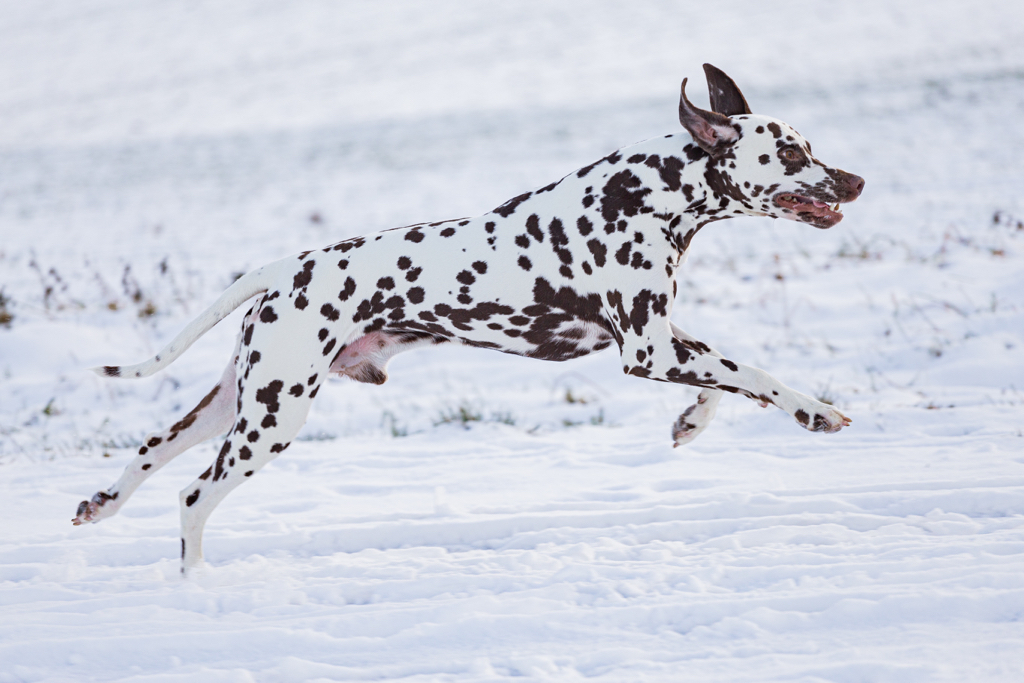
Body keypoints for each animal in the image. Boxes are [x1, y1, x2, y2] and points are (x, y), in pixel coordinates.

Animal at [74, 66, 864, 573]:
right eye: (791, 150)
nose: (855, 180)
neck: (647, 194)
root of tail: (284, 266)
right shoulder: (650, 351)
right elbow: (752, 373)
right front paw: (817, 411)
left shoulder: (660, 341)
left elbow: (718, 385)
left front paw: (691, 424)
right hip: (272, 419)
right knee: (192, 496)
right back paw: (196, 585)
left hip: (236, 401)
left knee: (150, 448)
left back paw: (101, 505)